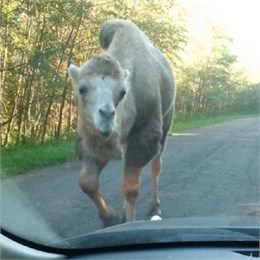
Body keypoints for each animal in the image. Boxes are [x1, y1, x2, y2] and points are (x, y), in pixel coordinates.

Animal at [68, 18, 176, 226]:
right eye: (81, 89)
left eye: (122, 92)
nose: (107, 114)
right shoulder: (91, 136)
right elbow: (87, 182)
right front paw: (111, 217)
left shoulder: (146, 133)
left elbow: (131, 188)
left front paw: (127, 222)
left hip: (168, 118)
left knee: (156, 164)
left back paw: (154, 205)